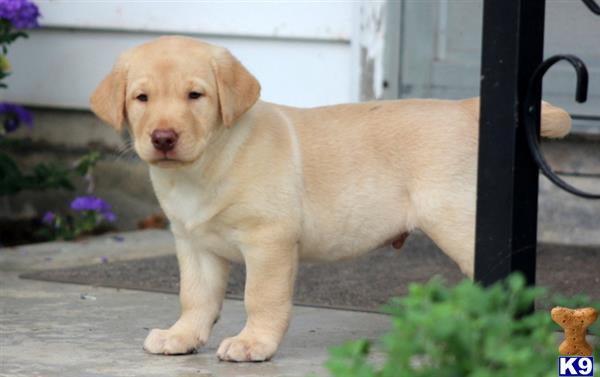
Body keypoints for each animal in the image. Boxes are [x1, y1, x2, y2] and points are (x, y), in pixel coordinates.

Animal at [90, 36, 572, 362]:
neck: (206, 165)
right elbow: (195, 297)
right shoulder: (194, 244)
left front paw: (253, 342)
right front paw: (183, 336)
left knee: (508, 281)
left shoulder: (269, 241)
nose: (163, 138)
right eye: (142, 97)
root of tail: (466, 107)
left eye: (196, 95)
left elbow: (259, 297)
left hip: (463, 224)